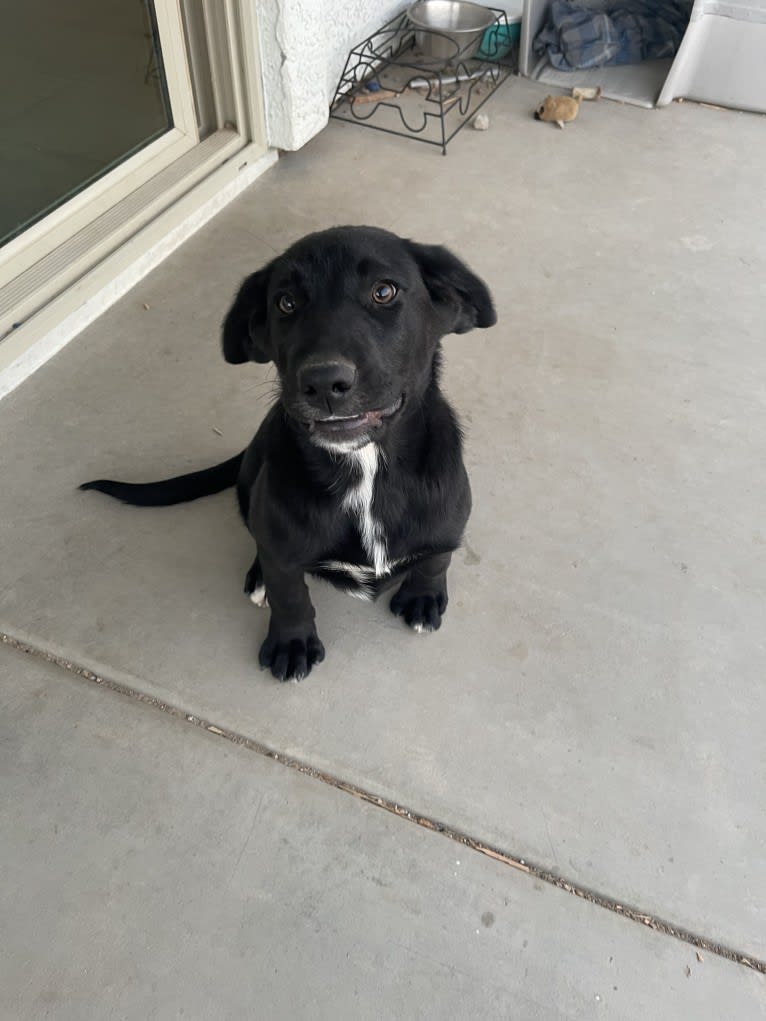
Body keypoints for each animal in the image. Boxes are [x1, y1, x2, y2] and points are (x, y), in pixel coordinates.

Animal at [81, 227, 494, 682]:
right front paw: (291, 642)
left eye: (384, 291)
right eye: (286, 303)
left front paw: (423, 596)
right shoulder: (281, 547)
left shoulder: (448, 523)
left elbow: (437, 558)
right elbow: (290, 594)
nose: (324, 381)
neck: (365, 471)